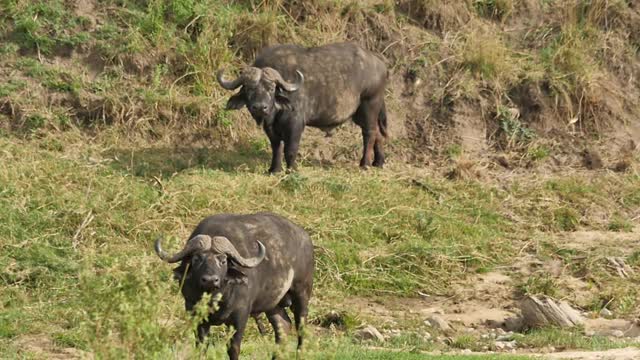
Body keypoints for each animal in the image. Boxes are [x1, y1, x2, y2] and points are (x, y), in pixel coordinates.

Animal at [156, 212, 316, 358]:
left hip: (302, 292)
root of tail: (305, 238)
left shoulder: (240, 314)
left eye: (223, 261)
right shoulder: (194, 312)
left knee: (301, 326)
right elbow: (201, 346)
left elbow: (233, 347)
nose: (210, 280)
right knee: (283, 327)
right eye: (196, 259)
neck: (218, 297)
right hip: (273, 304)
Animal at [219, 40, 390, 173]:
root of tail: (379, 62)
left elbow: (290, 148)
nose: (260, 108)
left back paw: (364, 164)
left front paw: (291, 169)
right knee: (377, 133)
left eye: (271, 88)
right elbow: (276, 147)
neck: (275, 113)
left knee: (369, 133)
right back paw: (378, 162)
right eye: (249, 89)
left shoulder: (295, 124)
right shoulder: (270, 128)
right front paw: (274, 169)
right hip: (358, 114)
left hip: (370, 104)